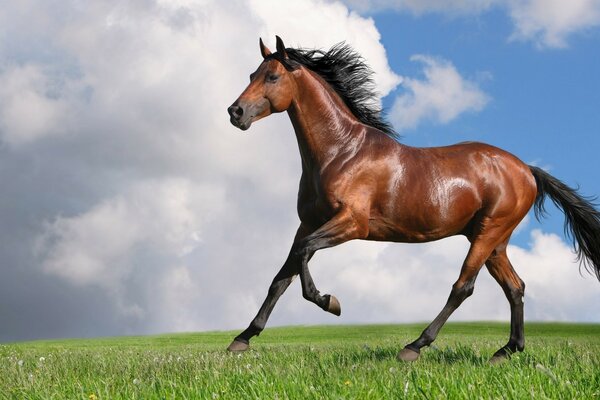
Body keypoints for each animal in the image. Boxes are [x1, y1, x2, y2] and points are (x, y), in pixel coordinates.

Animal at [226, 36, 600, 362]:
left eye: (272, 76)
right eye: (251, 75)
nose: (235, 112)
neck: (341, 152)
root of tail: (526, 170)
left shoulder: (352, 224)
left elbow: (303, 258)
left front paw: (330, 302)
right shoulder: (307, 223)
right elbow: (281, 278)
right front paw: (242, 339)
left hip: (489, 233)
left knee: (463, 287)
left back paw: (415, 346)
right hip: (495, 241)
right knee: (515, 287)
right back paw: (506, 351)